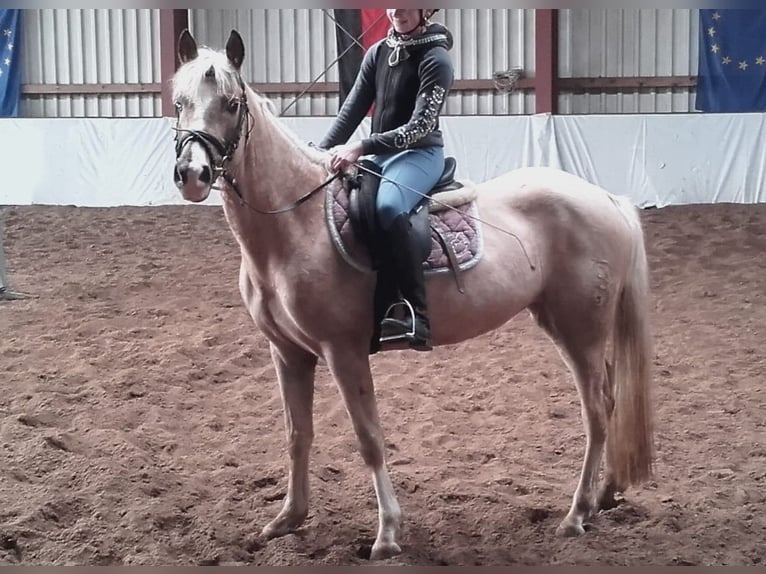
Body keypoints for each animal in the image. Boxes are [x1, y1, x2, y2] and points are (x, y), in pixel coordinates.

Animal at [171, 29, 656, 560]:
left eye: (232, 103)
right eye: (179, 102)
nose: (192, 174)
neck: (296, 224)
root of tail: (608, 199)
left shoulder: (342, 352)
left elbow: (369, 438)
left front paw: (387, 534)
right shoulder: (288, 353)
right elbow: (298, 434)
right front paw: (288, 519)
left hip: (579, 330)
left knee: (597, 410)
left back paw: (576, 514)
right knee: (608, 403)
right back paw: (604, 496)